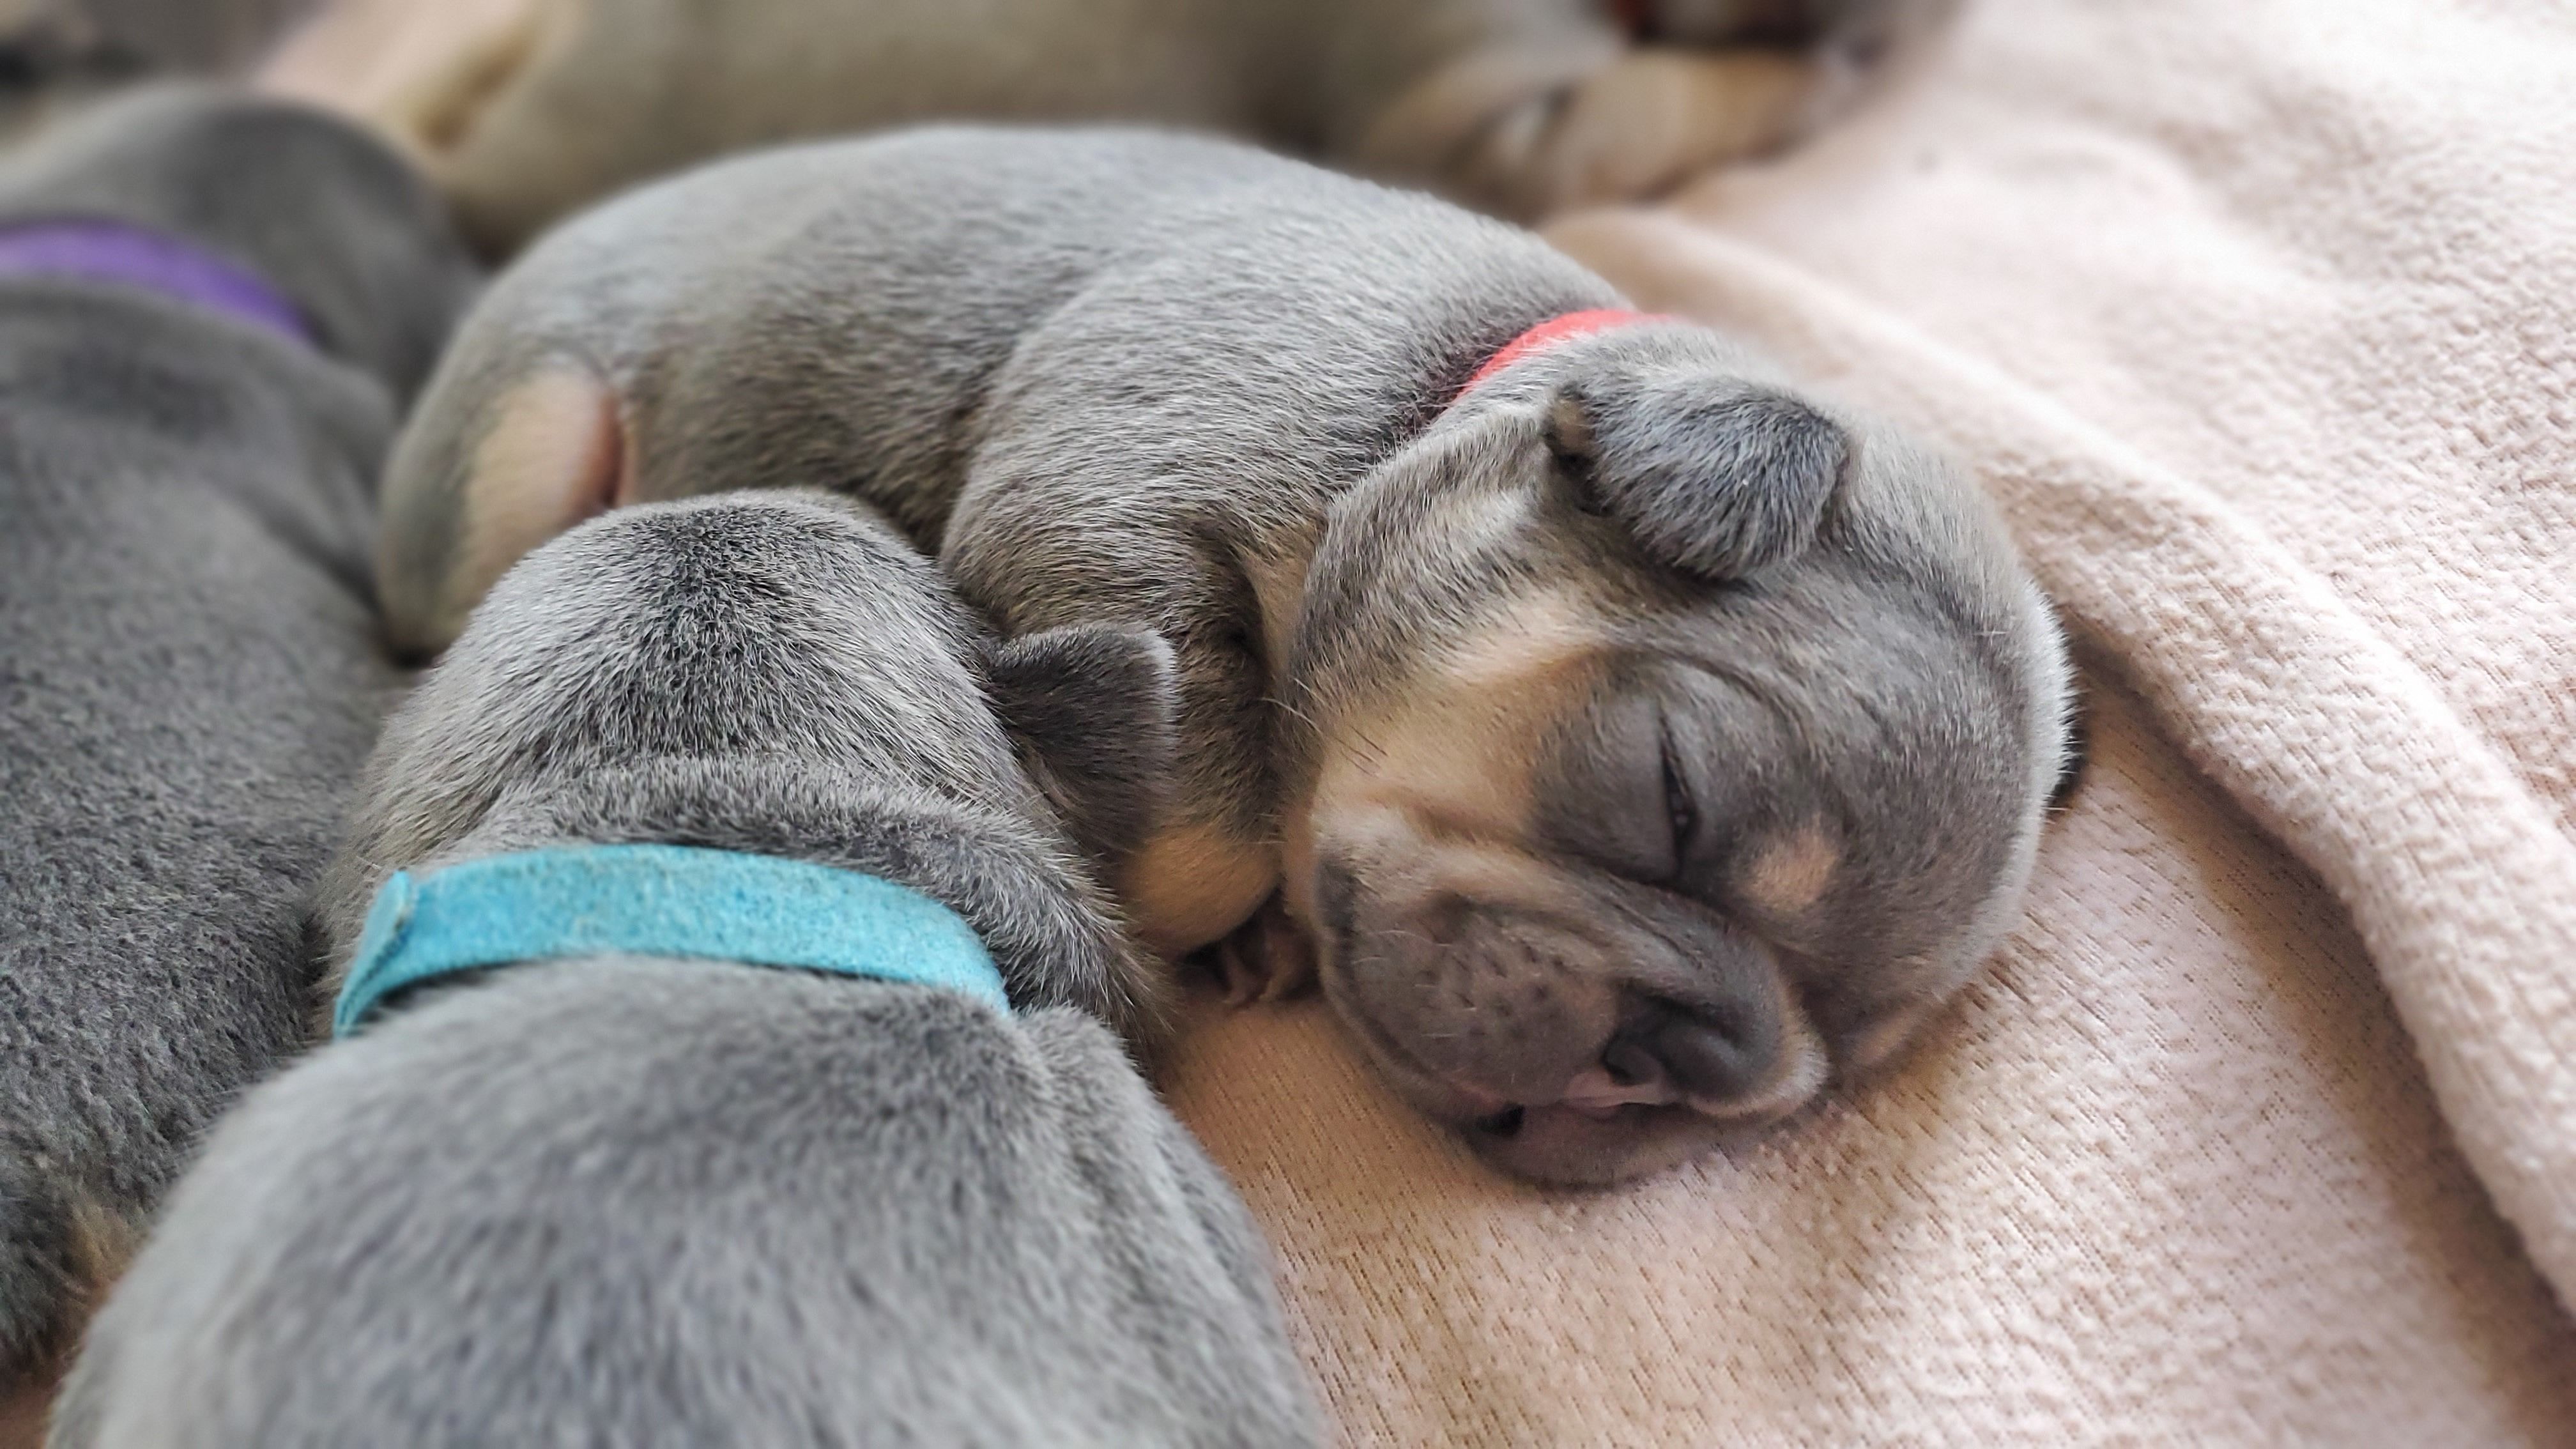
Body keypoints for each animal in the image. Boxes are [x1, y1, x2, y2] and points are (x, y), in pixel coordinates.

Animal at [376, 126, 2071, 1186]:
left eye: (1820, 1076)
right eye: (1669, 797)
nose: (1683, 1057)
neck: (1433, 412)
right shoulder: (1107, 507)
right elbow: (1209, 830)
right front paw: (1205, 917)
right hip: (526, 438)